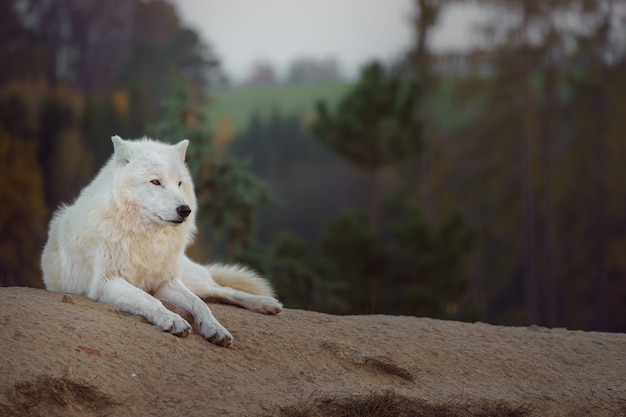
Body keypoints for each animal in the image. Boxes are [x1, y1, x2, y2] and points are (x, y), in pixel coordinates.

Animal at [40, 135, 280, 346]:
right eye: (155, 181)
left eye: (180, 183)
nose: (185, 210)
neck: (147, 239)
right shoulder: (106, 283)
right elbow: (149, 300)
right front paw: (173, 320)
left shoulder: (166, 282)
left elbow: (199, 304)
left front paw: (215, 329)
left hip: (188, 279)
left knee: (221, 290)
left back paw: (265, 304)